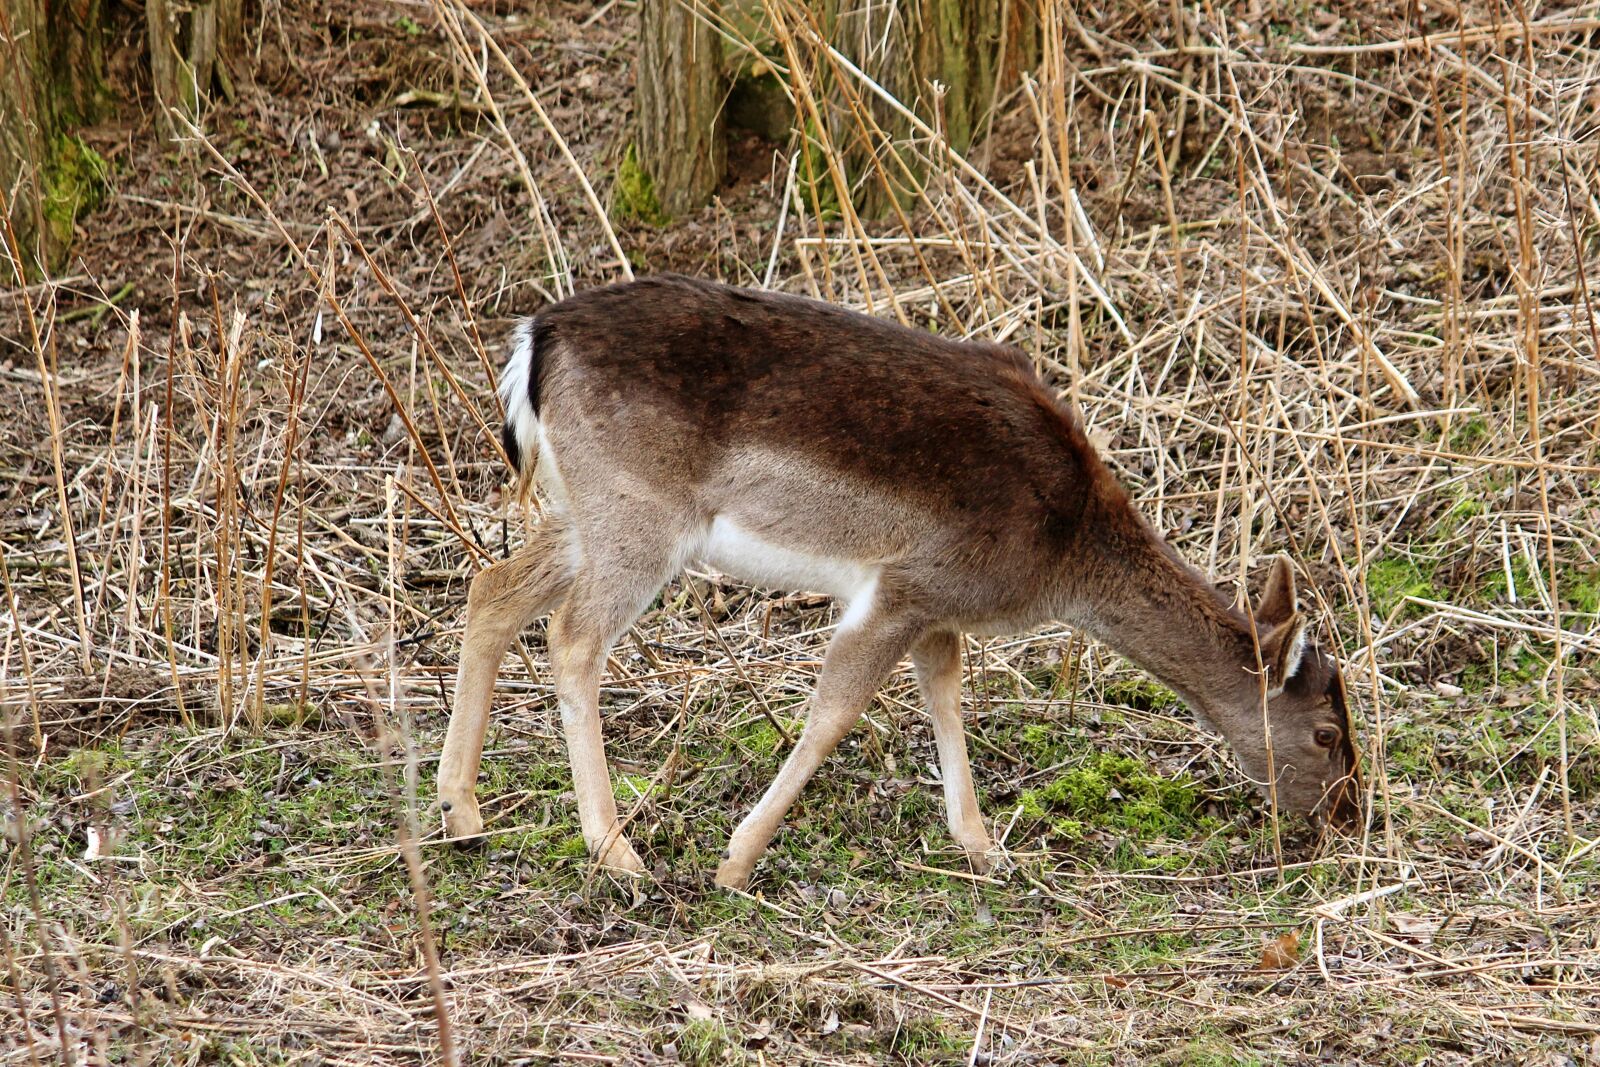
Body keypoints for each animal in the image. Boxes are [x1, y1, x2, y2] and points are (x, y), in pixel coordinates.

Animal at [437, 275, 1361, 890]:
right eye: (1324, 732)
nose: (1346, 816)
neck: (1060, 555)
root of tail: (534, 341)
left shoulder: (942, 607)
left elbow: (947, 699)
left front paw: (986, 846)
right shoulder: (907, 586)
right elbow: (836, 709)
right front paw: (737, 861)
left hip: (581, 509)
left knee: (492, 588)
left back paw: (462, 812)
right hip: (640, 514)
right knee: (572, 636)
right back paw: (616, 850)